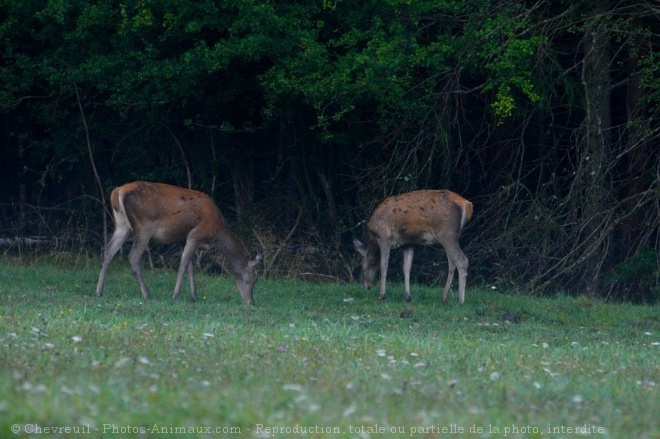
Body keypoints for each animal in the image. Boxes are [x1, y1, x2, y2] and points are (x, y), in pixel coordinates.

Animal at [94, 182, 262, 306]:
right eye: (254, 278)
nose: (250, 302)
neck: (217, 231)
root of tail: (117, 192)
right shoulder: (195, 235)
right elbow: (182, 265)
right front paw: (175, 296)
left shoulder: (183, 239)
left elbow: (190, 267)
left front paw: (194, 296)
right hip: (143, 227)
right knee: (133, 256)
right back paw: (147, 294)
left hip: (122, 226)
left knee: (107, 251)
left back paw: (99, 291)